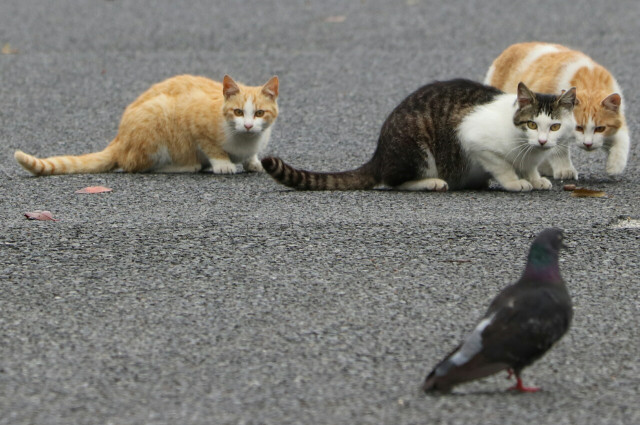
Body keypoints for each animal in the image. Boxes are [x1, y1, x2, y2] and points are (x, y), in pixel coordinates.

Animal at [14, 74, 278, 176]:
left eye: (259, 113)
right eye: (238, 112)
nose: (247, 126)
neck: (244, 141)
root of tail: (118, 139)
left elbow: (251, 156)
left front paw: (252, 162)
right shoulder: (194, 121)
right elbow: (212, 147)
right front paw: (223, 164)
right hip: (156, 120)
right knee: (135, 165)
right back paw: (185, 165)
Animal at [260, 79, 576, 192]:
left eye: (554, 127)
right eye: (532, 125)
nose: (543, 141)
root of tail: (379, 153)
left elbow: (531, 168)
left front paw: (535, 177)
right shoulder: (473, 138)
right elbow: (503, 165)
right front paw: (515, 182)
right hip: (416, 146)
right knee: (393, 180)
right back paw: (430, 182)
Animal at [484, 41, 632, 177]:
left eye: (600, 128)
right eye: (578, 127)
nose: (588, 144)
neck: (590, 83)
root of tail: (513, 47)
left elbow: (622, 140)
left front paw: (615, 165)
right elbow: (558, 150)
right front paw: (565, 170)